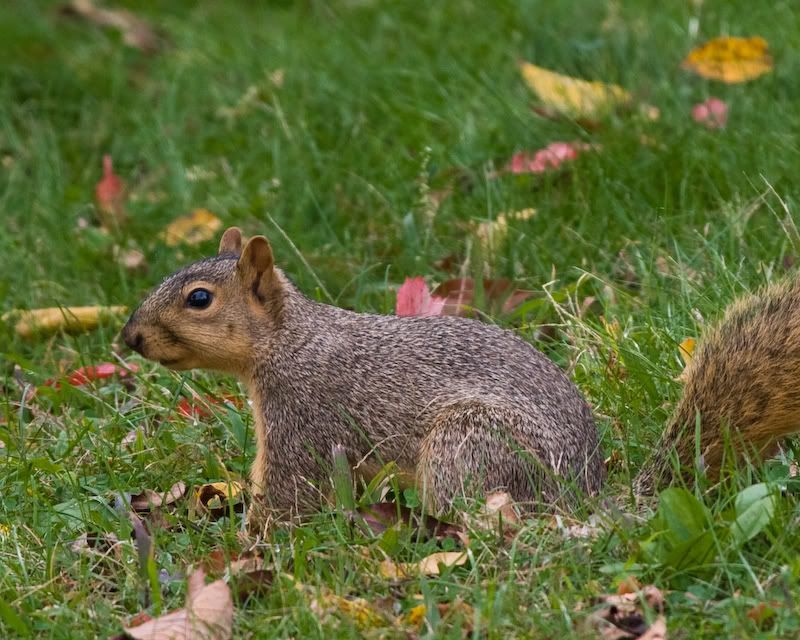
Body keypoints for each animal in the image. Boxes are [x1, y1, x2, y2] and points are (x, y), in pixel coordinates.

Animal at [122, 227, 800, 517]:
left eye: (200, 299)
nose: (128, 337)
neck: (292, 342)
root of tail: (584, 498)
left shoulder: (303, 417)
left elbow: (293, 491)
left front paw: (245, 539)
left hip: (469, 445)